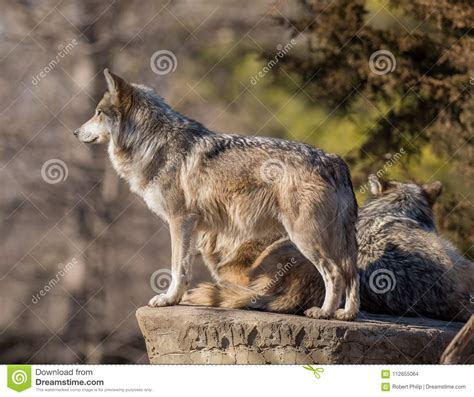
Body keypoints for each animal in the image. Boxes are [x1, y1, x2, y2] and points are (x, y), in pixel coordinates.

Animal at [75, 69, 360, 320]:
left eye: (98, 113)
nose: (75, 132)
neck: (152, 143)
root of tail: (333, 159)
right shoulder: (193, 228)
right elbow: (185, 269)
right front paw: (175, 299)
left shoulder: (180, 221)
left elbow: (176, 266)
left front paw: (167, 299)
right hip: (336, 241)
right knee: (351, 273)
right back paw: (346, 314)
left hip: (306, 238)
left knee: (335, 273)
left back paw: (324, 313)